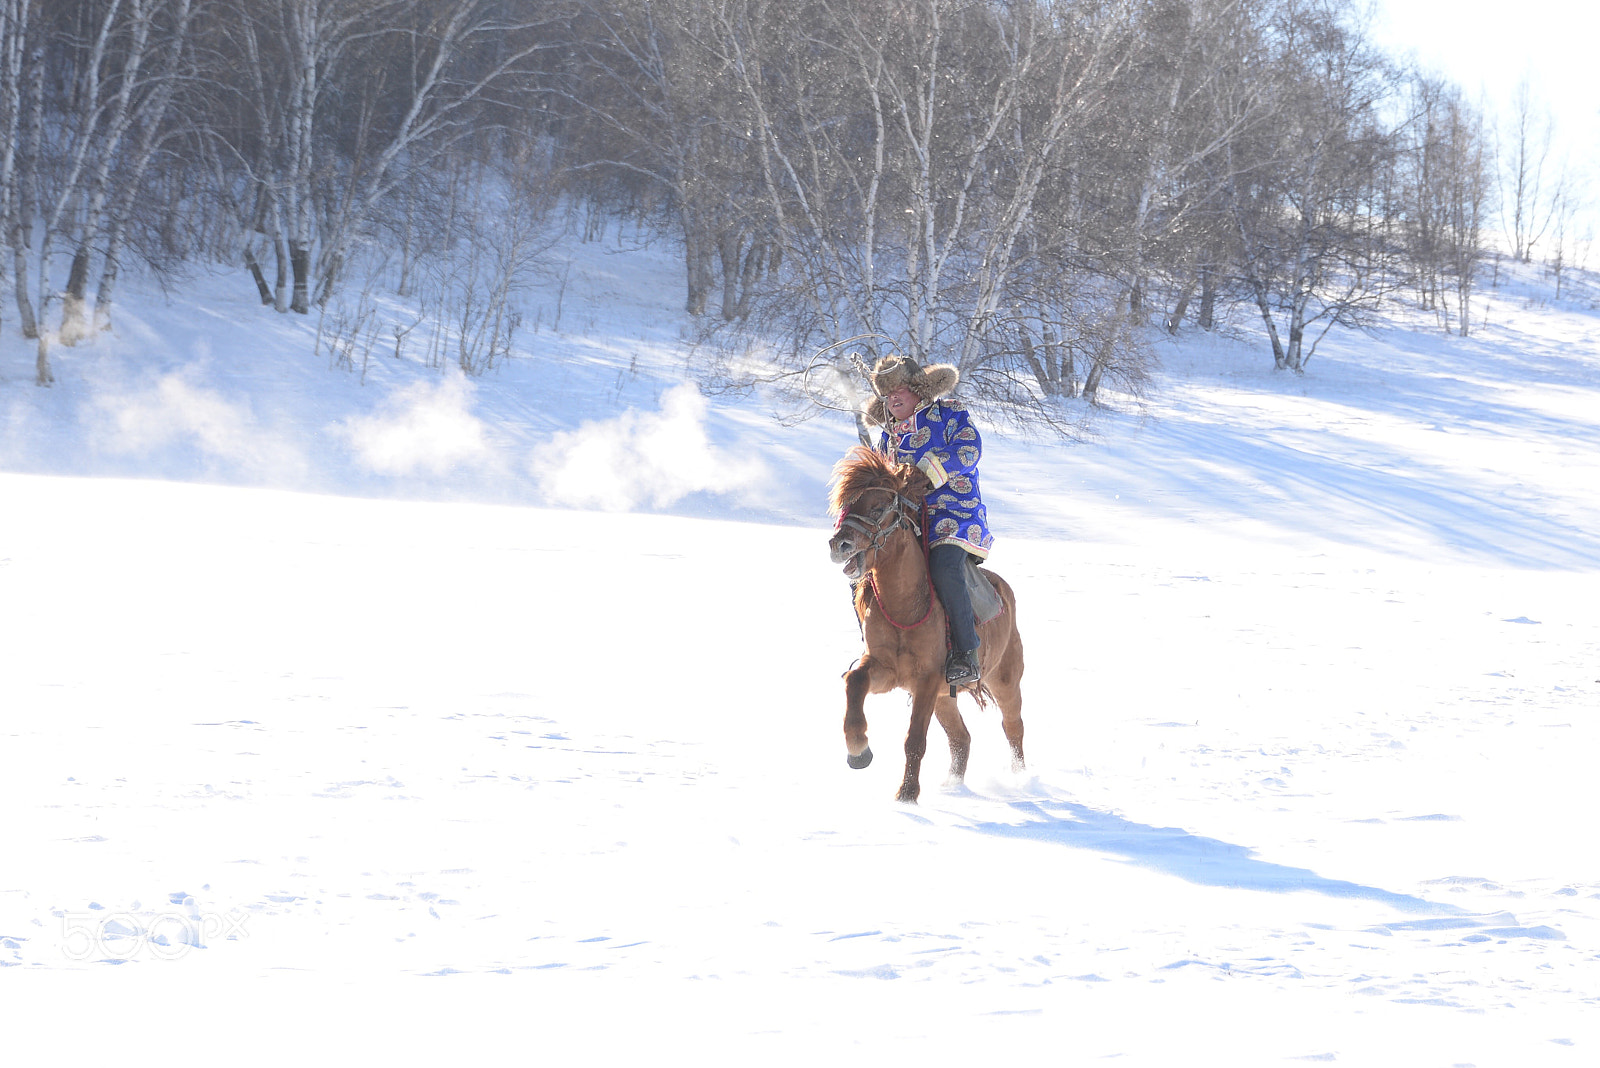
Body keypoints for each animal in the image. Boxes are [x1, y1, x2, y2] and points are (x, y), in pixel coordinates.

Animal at [827, 446, 1025, 803]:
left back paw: (1020, 780)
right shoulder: (886, 670)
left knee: (1013, 728)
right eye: (845, 504)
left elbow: (915, 740)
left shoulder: (928, 679)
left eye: (878, 506)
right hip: (945, 698)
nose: (839, 545)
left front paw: (906, 795)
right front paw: (858, 749)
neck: (907, 602)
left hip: (1004, 681)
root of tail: (1004, 589)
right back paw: (952, 786)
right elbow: (854, 681)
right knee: (961, 737)